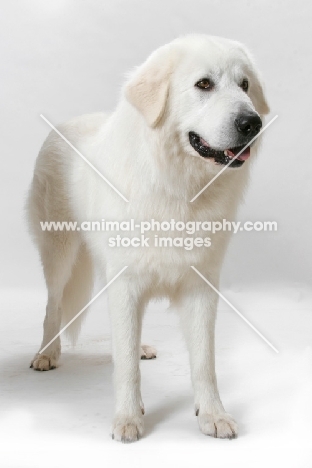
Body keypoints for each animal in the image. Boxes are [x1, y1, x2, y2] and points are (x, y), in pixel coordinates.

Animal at [26, 33, 270, 442]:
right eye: (204, 84)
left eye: (245, 85)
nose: (252, 123)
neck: (177, 185)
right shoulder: (126, 281)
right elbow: (125, 365)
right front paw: (128, 419)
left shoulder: (200, 286)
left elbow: (204, 361)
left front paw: (212, 414)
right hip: (59, 254)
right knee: (53, 304)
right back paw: (47, 353)